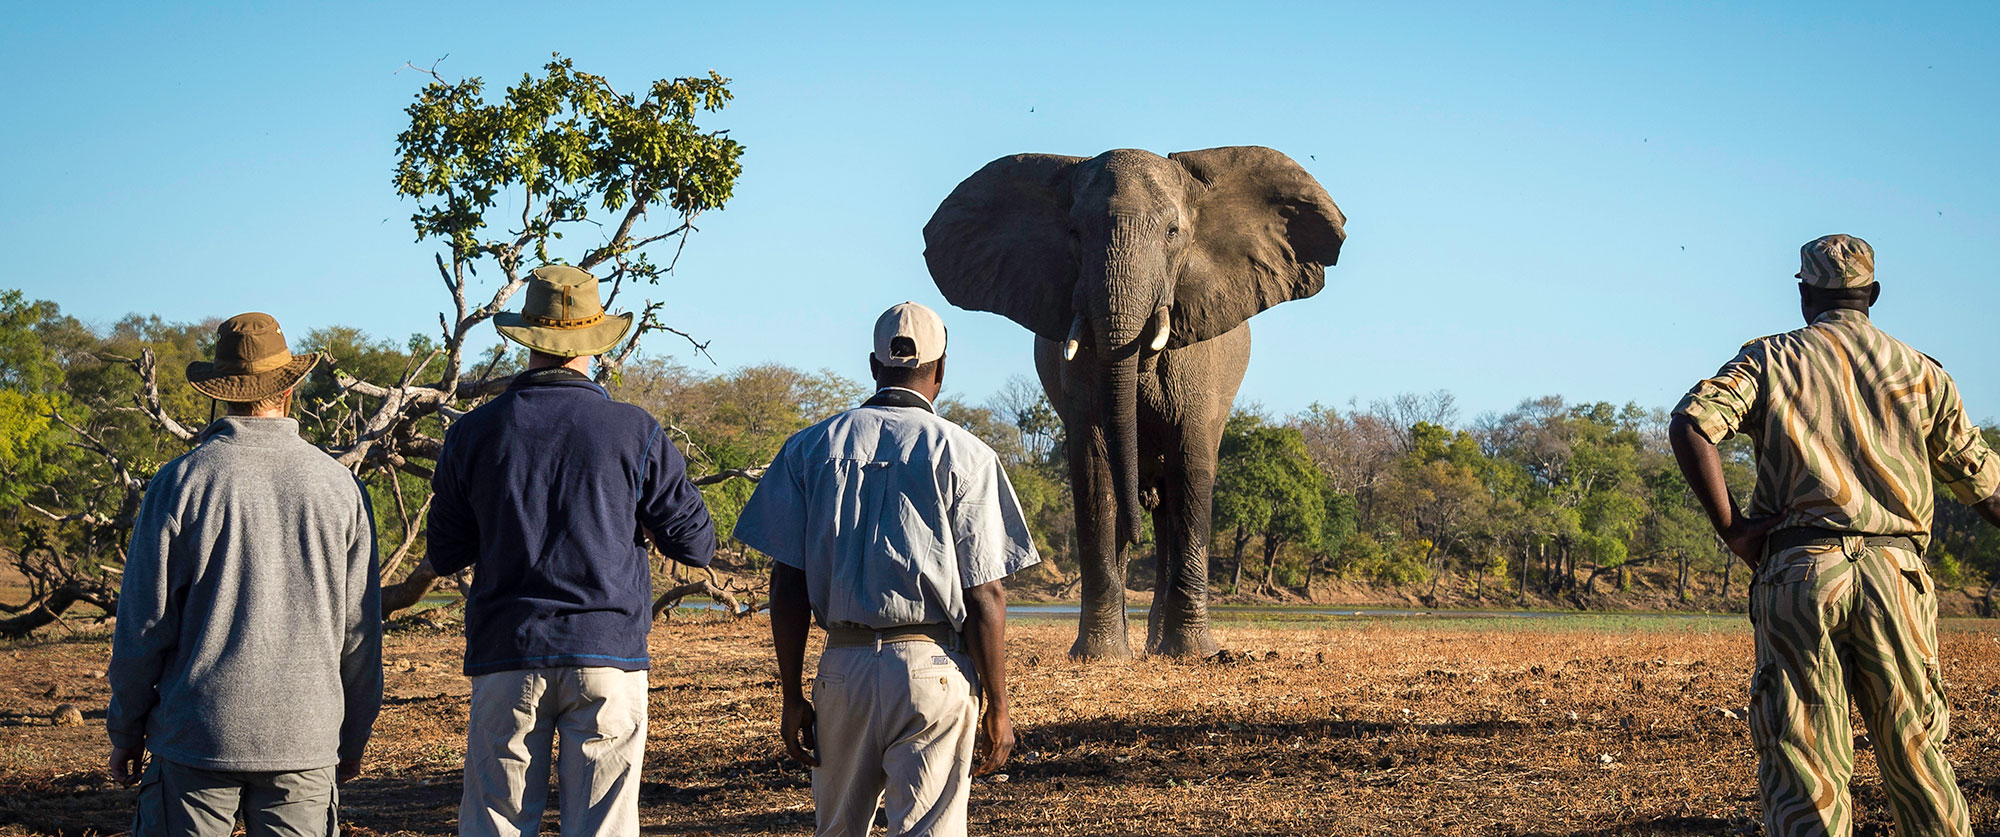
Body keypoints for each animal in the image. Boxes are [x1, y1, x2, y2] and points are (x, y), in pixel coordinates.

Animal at [920, 149, 1344, 660]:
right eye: (1074, 233)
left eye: (1173, 232)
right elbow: (1094, 469)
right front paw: (1099, 657)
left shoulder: (1198, 363)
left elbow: (1192, 468)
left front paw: (1194, 655)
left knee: (1171, 511)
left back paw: (1161, 644)